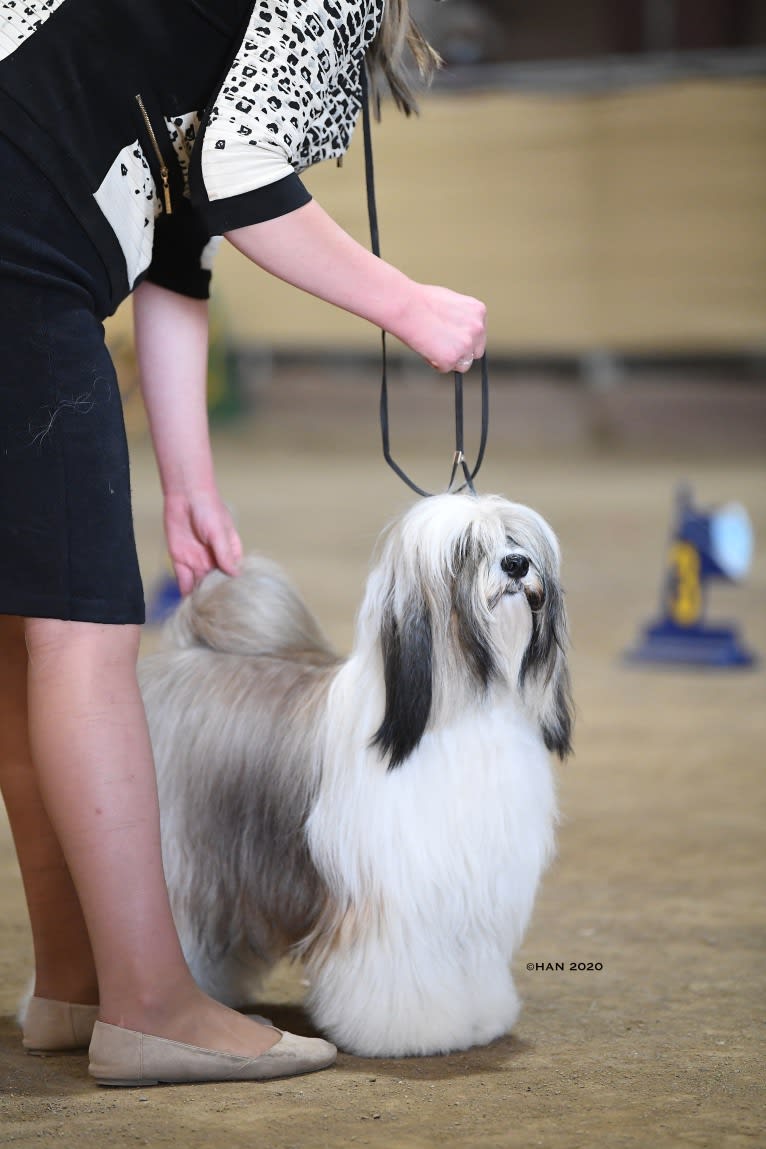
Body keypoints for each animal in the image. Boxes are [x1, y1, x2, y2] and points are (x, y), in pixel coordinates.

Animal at [140, 489, 571, 1052]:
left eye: (516, 540)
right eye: (463, 550)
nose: (517, 565)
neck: (464, 710)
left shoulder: (474, 893)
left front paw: (481, 1019)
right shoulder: (393, 898)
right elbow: (398, 971)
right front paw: (413, 1029)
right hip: (182, 857)